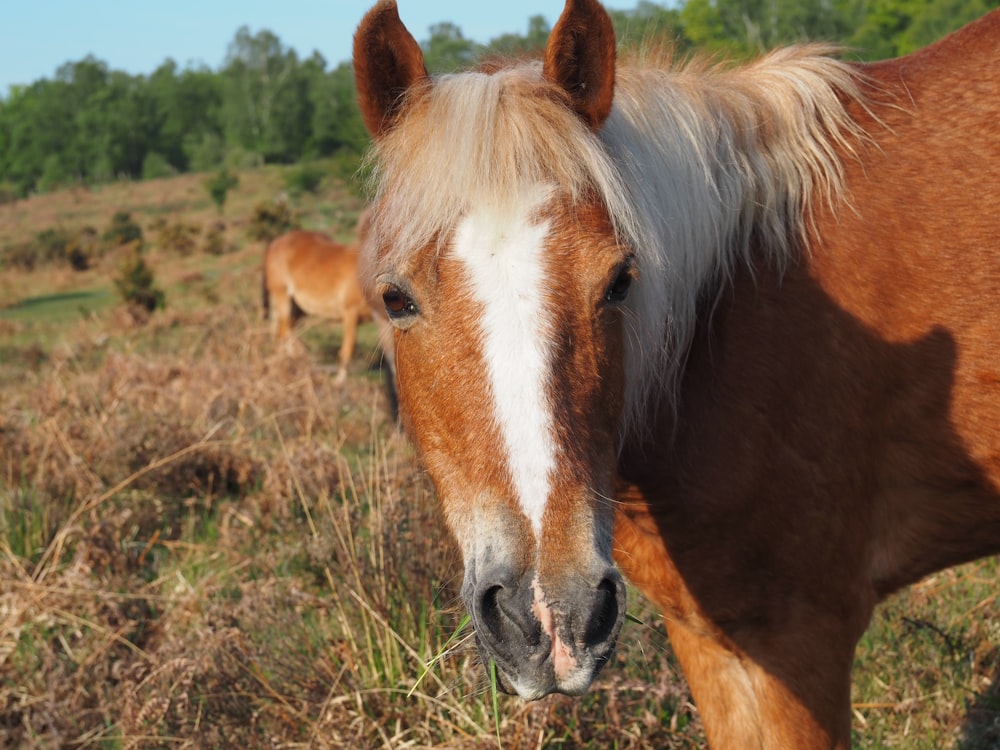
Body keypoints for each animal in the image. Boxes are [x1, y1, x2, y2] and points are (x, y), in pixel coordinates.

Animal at [264, 228, 392, 388]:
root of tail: (277, 241)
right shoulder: (350, 314)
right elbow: (348, 349)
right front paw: (339, 381)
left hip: (295, 307)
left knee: (282, 331)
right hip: (282, 295)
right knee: (285, 331)